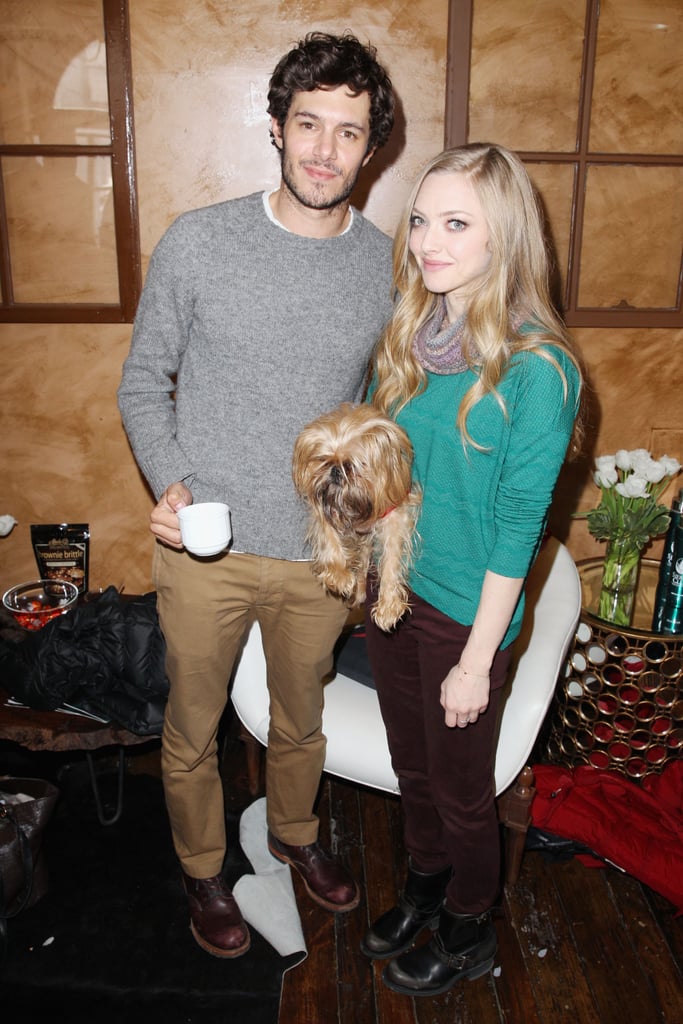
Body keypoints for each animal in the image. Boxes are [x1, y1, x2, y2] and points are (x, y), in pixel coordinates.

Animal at [294, 401, 421, 630]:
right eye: (323, 460)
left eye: (351, 465)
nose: (335, 471)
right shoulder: (322, 503)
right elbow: (329, 538)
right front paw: (338, 575)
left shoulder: (393, 513)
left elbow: (391, 559)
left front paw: (388, 606)